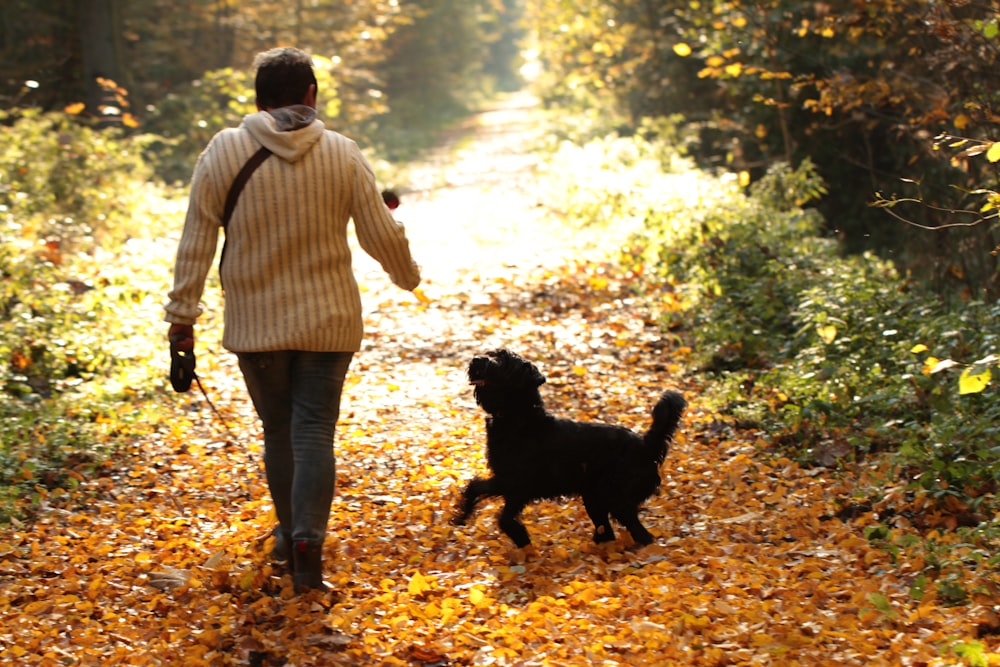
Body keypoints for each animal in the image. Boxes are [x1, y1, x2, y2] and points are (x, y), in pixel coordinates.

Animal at [454, 350, 688, 548]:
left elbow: (499, 513)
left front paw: (521, 539)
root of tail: (646, 446)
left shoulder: (516, 485)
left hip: (616, 498)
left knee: (639, 532)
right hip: (595, 498)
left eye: (504, 361)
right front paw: (461, 517)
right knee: (608, 531)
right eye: (492, 353)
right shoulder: (507, 482)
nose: (477, 360)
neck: (519, 417)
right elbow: (474, 487)